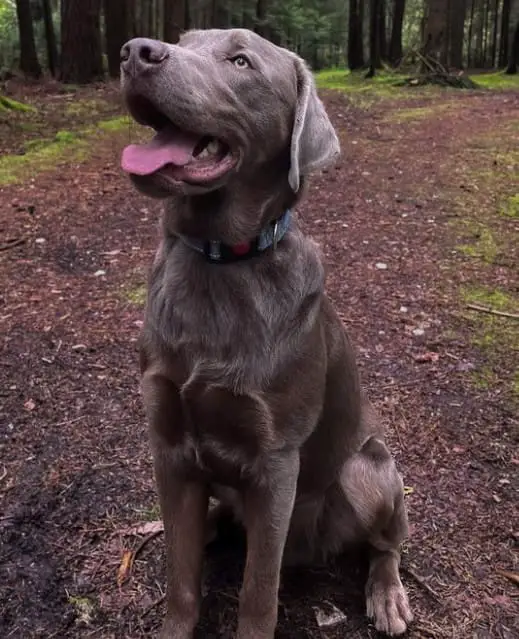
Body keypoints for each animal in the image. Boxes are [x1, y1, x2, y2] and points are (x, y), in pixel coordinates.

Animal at [120, 27, 412, 639]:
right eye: (183, 41)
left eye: (240, 61)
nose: (136, 51)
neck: (220, 261)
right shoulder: (169, 445)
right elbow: (181, 579)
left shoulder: (276, 462)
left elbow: (258, 594)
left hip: (367, 470)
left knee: (386, 543)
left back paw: (388, 596)